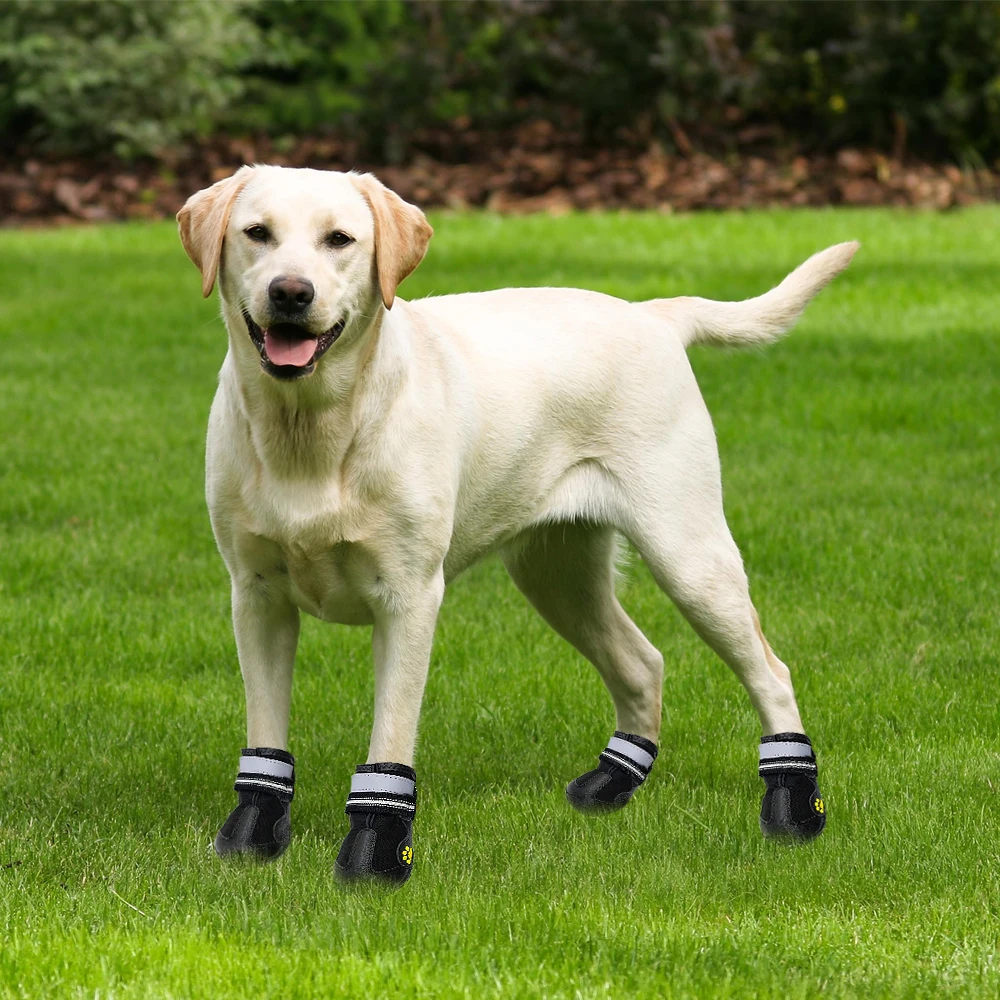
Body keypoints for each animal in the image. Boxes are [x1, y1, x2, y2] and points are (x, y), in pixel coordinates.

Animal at [176, 166, 856, 884]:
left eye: (339, 239)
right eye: (257, 233)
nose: (290, 292)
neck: (311, 429)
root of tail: (653, 314)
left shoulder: (408, 598)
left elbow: (391, 734)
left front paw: (376, 853)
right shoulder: (257, 597)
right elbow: (265, 732)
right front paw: (252, 835)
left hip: (689, 555)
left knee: (772, 673)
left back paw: (793, 806)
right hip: (556, 575)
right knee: (643, 661)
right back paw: (613, 782)